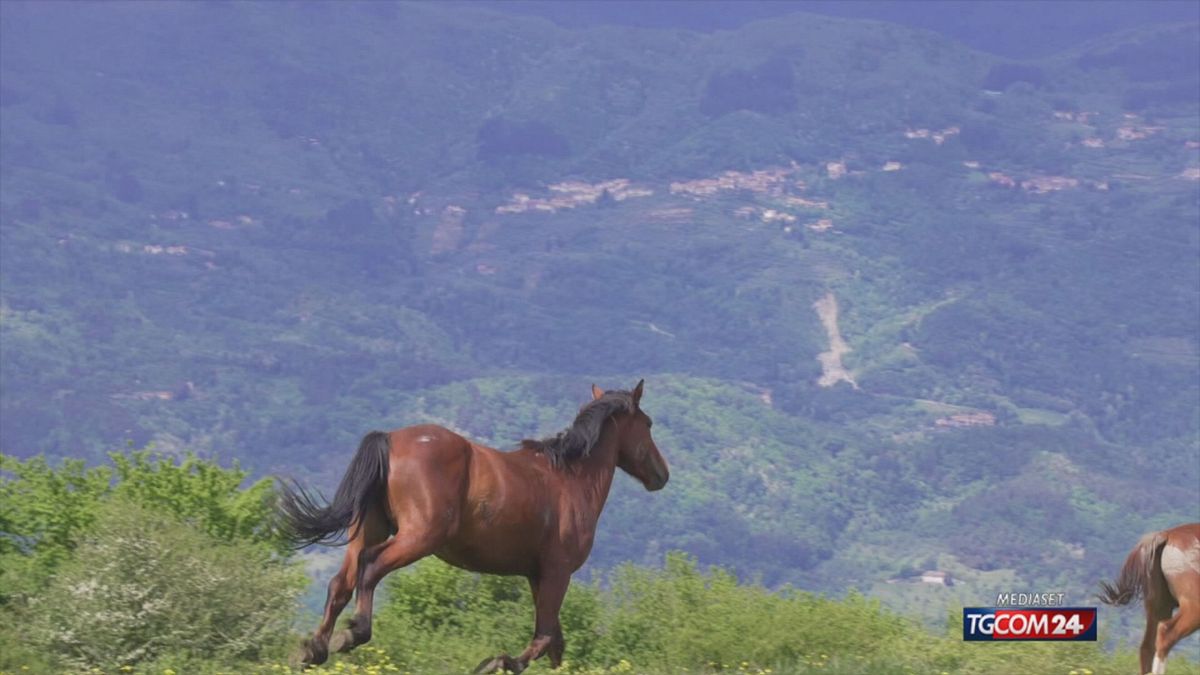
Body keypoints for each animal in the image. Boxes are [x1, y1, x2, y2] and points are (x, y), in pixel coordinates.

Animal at [277, 380, 669, 672]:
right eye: (648, 424)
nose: (661, 475)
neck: (570, 480)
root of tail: (389, 439)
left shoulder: (537, 575)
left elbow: (555, 643)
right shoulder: (557, 572)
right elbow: (543, 638)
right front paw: (496, 662)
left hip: (368, 530)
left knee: (340, 583)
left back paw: (312, 649)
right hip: (418, 537)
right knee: (370, 567)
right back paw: (353, 633)